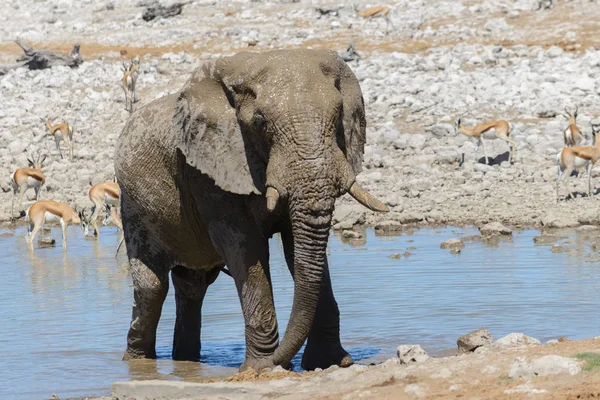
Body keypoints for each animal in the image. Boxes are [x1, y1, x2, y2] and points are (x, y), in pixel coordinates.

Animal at [113, 49, 390, 372]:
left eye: (338, 117)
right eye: (260, 123)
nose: (284, 362)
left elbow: (297, 247)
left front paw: (329, 363)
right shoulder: (206, 170)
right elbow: (244, 245)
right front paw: (261, 369)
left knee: (192, 285)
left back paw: (187, 362)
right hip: (133, 206)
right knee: (152, 287)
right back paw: (138, 364)